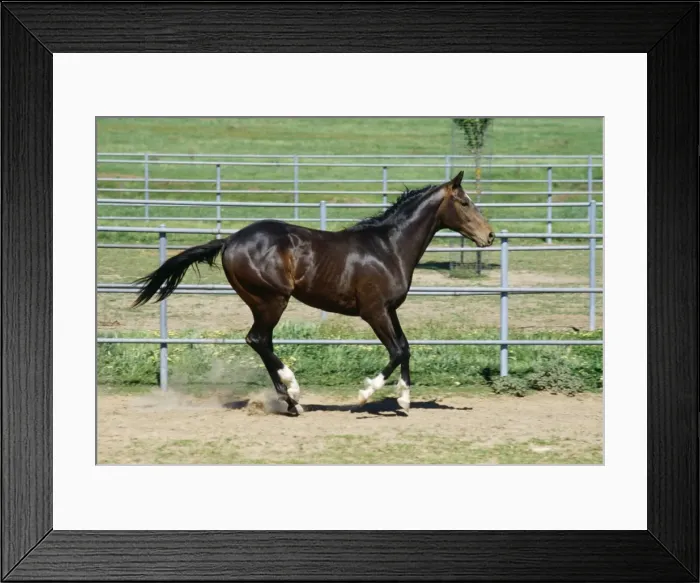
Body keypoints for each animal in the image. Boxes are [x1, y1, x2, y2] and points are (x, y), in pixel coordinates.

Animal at [131, 170, 495, 416]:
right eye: (464, 202)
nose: (489, 235)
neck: (388, 248)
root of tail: (230, 240)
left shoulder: (390, 309)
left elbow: (405, 347)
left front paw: (404, 399)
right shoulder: (374, 311)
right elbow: (395, 351)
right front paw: (365, 394)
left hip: (262, 303)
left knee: (261, 341)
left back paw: (291, 401)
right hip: (272, 299)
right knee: (257, 339)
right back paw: (293, 394)